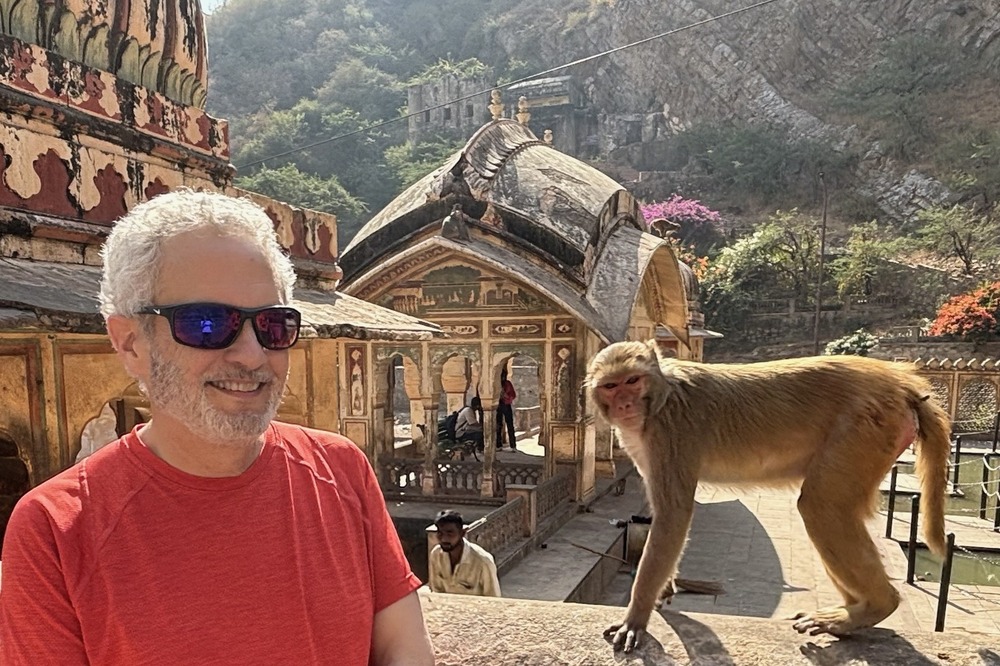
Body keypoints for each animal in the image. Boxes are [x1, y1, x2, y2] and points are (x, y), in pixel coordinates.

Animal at [584, 340, 952, 652]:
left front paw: (637, 616)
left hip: (866, 426)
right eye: (611, 386)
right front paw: (666, 587)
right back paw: (852, 613)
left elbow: (674, 513)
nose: (624, 404)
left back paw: (873, 606)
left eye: (632, 380)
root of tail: (901, 381)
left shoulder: (670, 432)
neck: (659, 399)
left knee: (821, 506)